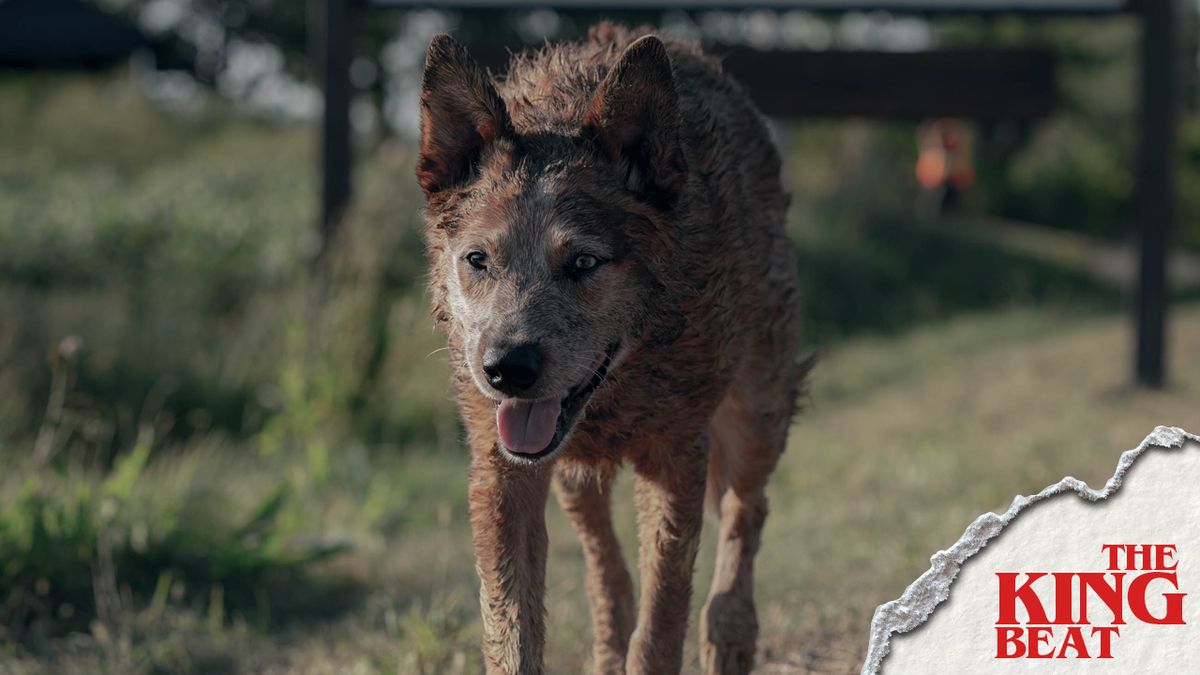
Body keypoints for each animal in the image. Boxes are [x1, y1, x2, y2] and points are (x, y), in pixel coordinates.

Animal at [415, 22, 806, 672]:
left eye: (583, 262)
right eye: (478, 259)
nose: (505, 369)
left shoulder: (675, 458)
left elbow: (660, 625)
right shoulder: (501, 473)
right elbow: (510, 631)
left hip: (759, 410)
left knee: (746, 510)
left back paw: (730, 633)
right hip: (574, 477)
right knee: (606, 569)